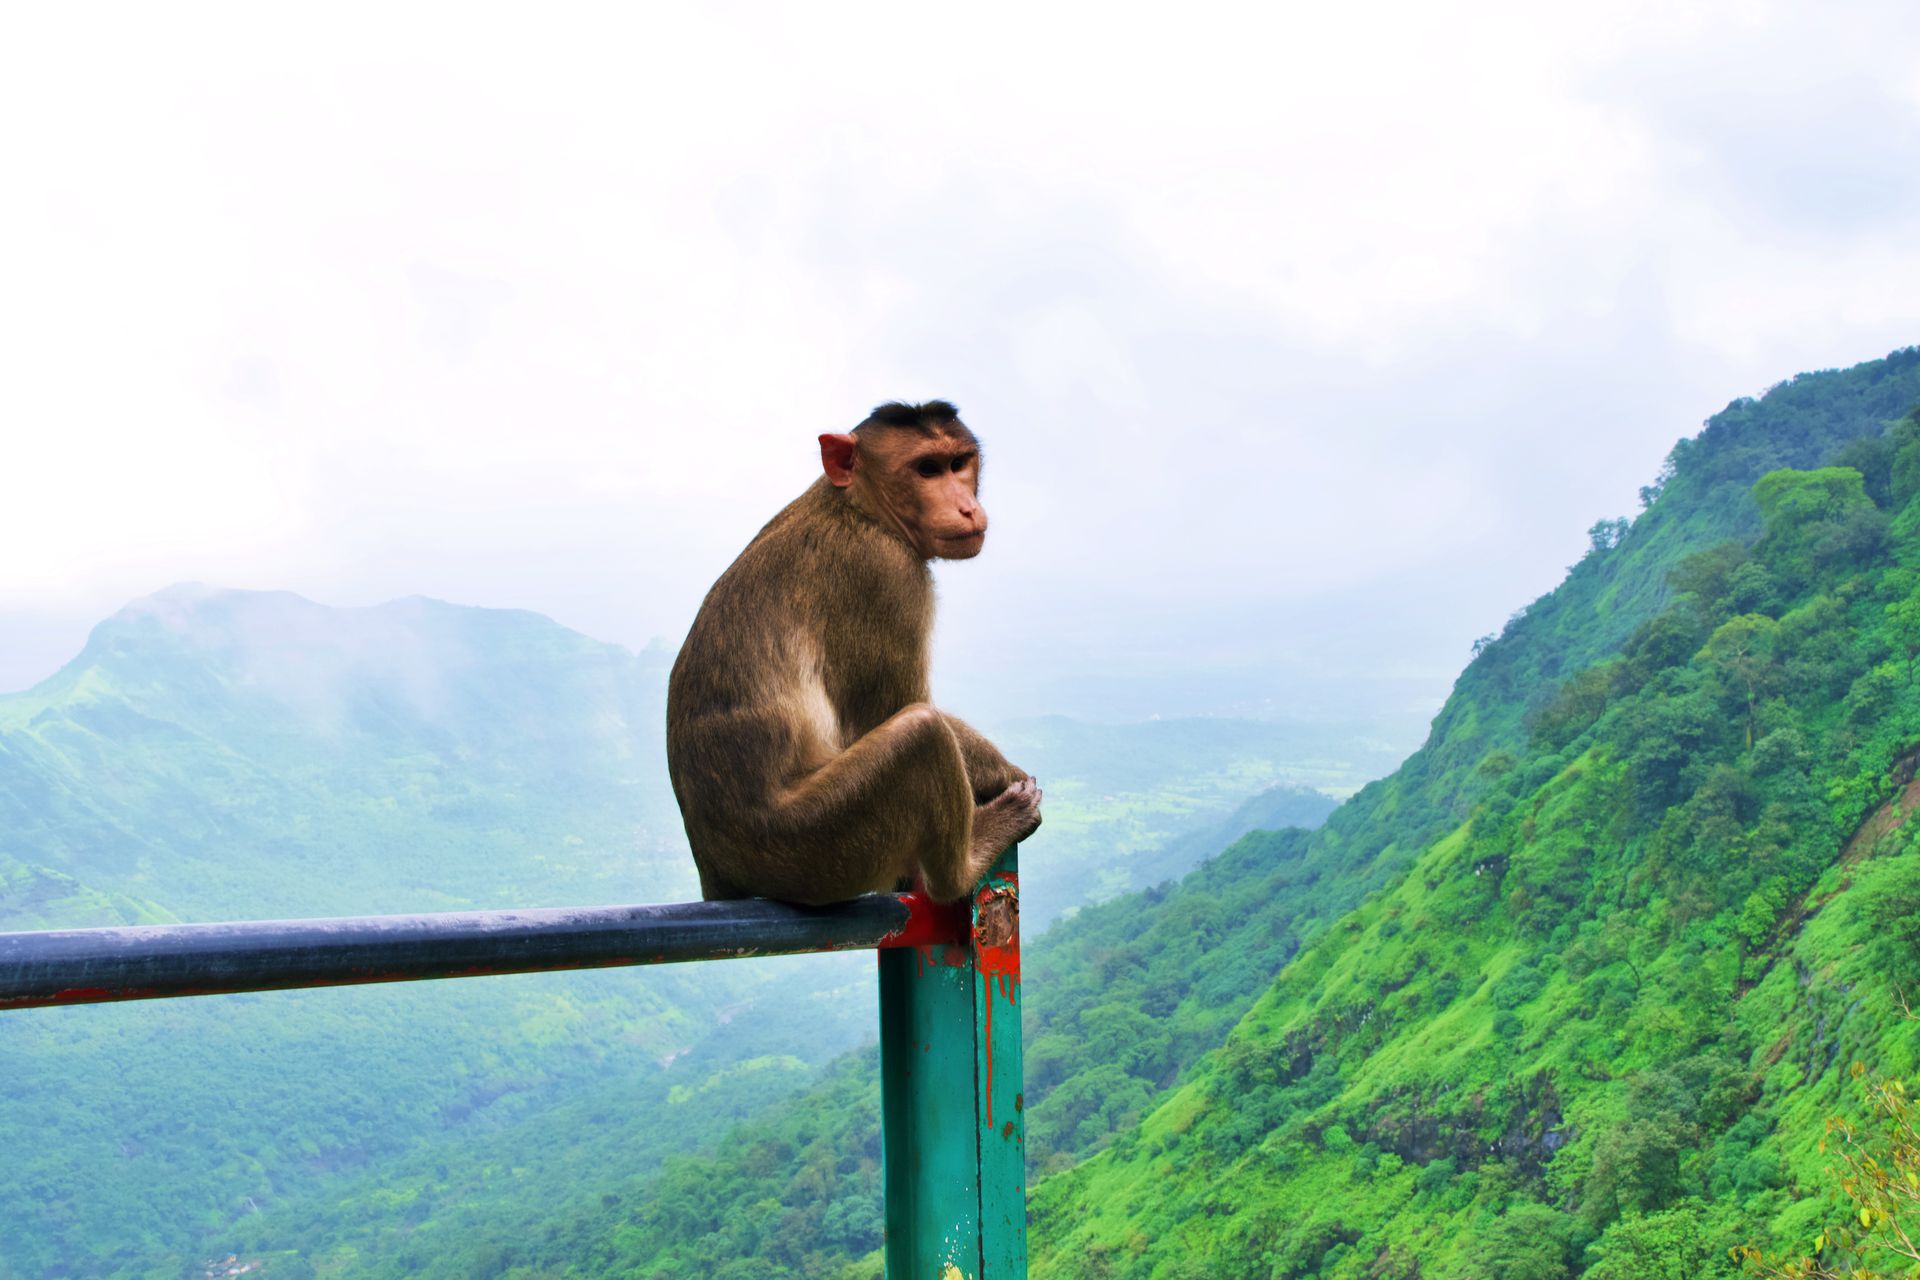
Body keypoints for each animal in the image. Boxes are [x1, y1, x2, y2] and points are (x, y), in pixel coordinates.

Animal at [665, 400, 1042, 906]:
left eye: (958, 463)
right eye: (926, 469)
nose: (966, 507)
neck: (858, 508)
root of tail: (717, 869)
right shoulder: (887, 575)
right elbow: (892, 709)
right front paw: (1002, 772)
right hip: (816, 847)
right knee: (921, 733)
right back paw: (966, 866)